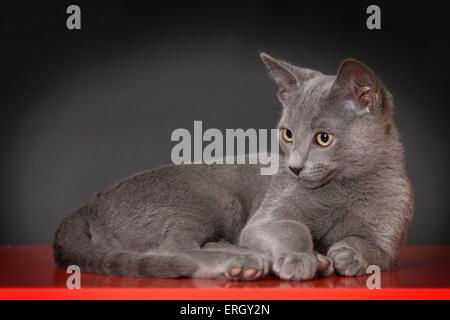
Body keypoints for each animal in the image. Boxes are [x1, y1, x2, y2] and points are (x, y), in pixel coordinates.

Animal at [54, 52, 414, 280]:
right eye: (288, 133)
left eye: (323, 138)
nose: (294, 168)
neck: (346, 187)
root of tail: (84, 206)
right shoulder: (269, 215)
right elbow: (291, 227)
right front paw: (299, 258)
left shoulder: (390, 238)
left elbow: (374, 248)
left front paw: (348, 255)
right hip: (211, 195)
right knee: (169, 250)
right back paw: (242, 261)